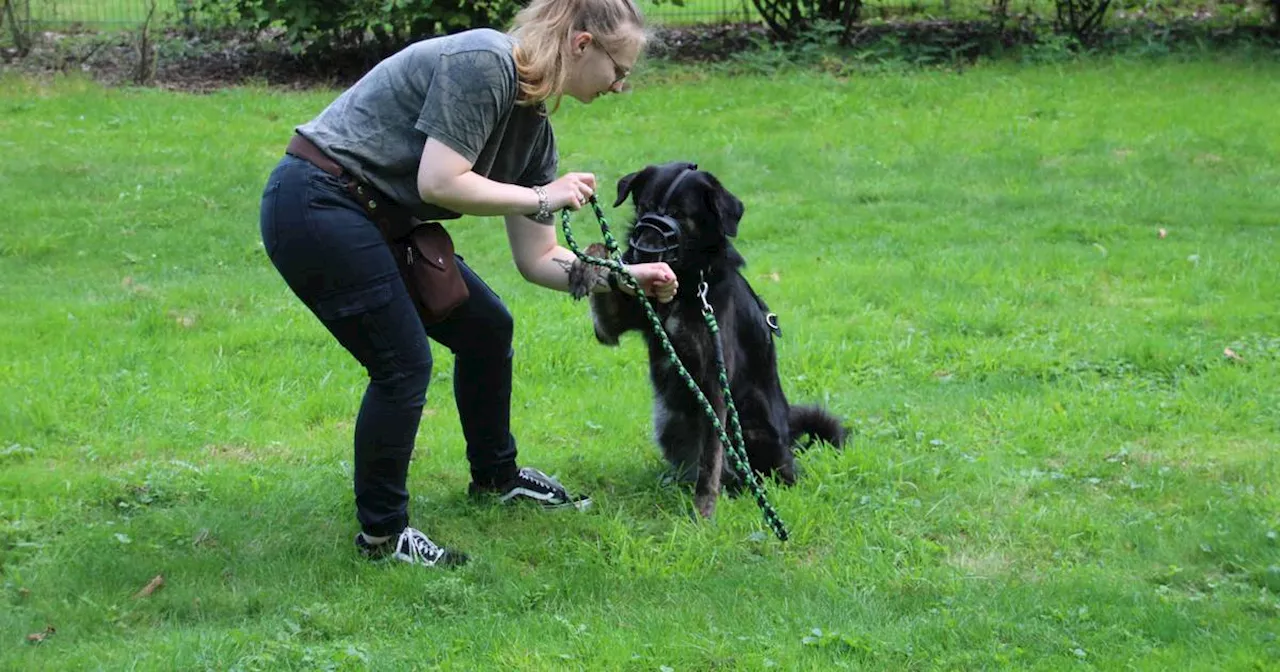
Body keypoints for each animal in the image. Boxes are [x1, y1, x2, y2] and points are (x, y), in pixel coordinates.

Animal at [570, 162, 849, 519]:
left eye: (678, 213)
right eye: (645, 207)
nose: (639, 251)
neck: (687, 283)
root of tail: (790, 437)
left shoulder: (715, 384)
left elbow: (711, 460)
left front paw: (703, 512)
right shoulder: (610, 327)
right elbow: (602, 258)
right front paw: (586, 264)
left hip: (751, 423)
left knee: (767, 473)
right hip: (669, 421)